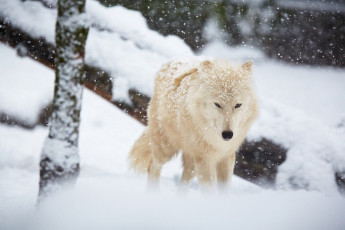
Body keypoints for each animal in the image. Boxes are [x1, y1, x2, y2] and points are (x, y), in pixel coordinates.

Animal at [129, 57, 258, 187]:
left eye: (238, 105)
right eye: (217, 104)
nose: (227, 134)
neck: (216, 141)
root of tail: (169, 63)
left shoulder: (226, 157)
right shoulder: (204, 159)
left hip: (191, 164)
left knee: (183, 183)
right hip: (166, 149)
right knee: (153, 167)